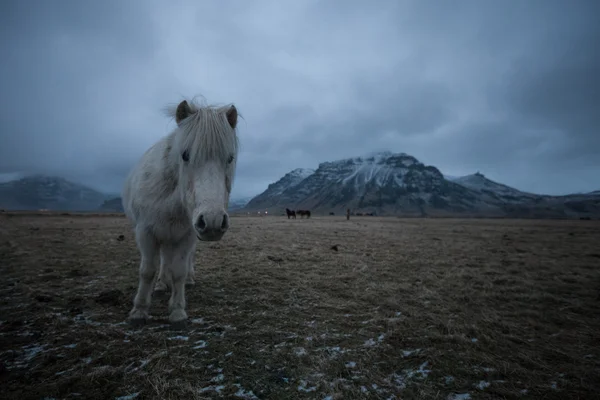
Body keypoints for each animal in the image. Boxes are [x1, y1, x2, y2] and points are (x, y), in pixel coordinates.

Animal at [121, 97, 239, 328]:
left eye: (230, 158)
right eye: (185, 155)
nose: (212, 221)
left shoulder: (187, 235)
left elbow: (179, 272)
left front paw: (177, 311)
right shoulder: (146, 233)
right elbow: (147, 271)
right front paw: (139, 310)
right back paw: (160, 284)